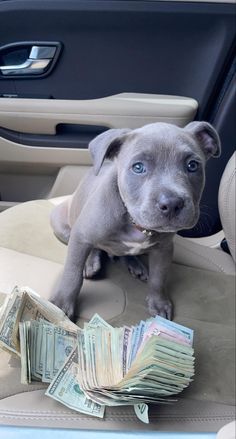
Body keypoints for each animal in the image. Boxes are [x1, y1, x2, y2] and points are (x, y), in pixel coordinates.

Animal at [50, 122, 221, 322]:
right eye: (138, 167)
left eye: (193, 165)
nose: (172, 204)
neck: (136, 223)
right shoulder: (81, 234)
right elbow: (72, 273)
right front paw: (61, 305)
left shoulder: (164, 249)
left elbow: (158, 277)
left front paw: (158, 302)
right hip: (63, 226)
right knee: (91, 248)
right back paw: (91, 262)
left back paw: (135, 264)